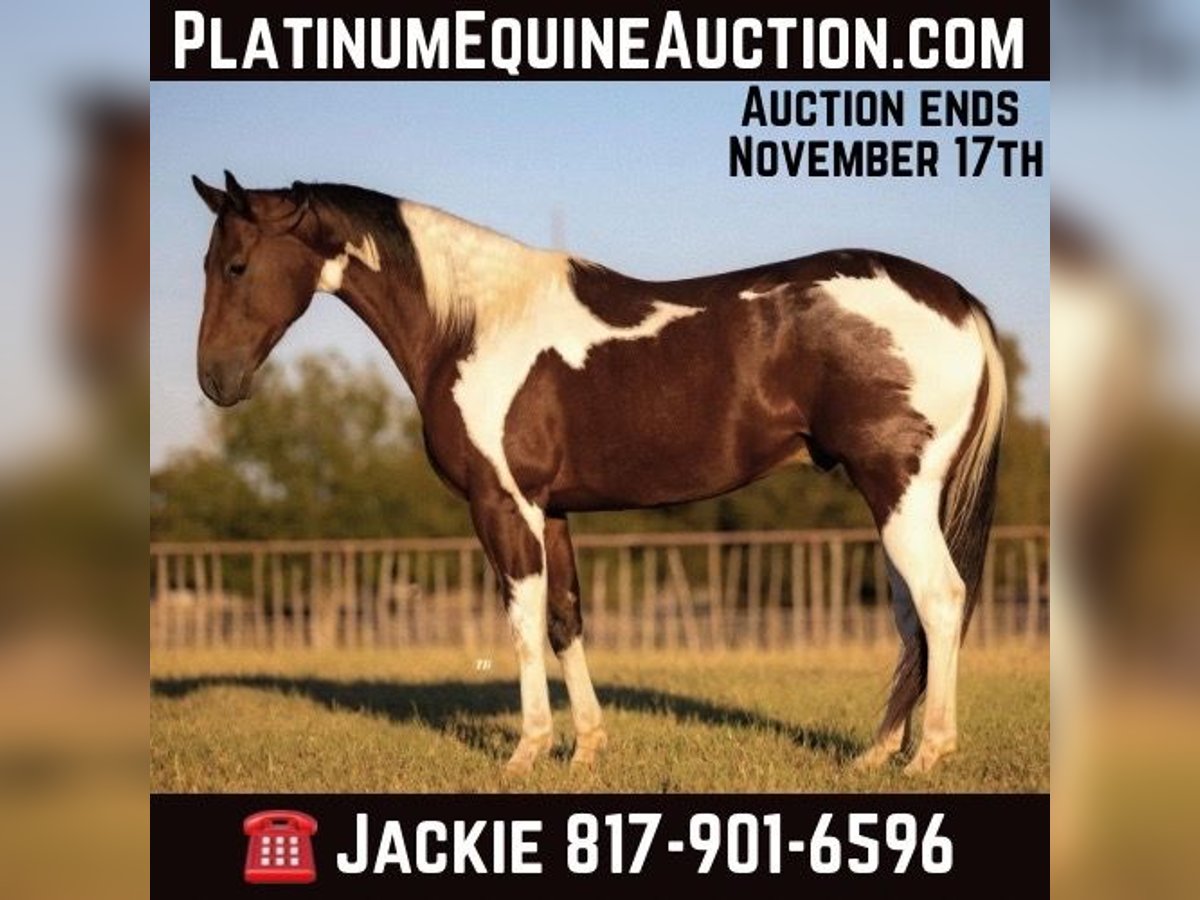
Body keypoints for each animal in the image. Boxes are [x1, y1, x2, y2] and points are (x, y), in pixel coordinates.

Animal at [190, 171, 1005, 775]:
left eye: (236, 265)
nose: (215, 381)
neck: (475, 324)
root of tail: (960, 302)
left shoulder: (502, 503)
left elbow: (521, 620)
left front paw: (527, 751)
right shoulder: (550, 508)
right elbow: (564, 617)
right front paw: (586, 748)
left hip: (899, 490)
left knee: (939, 600)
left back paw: (927, 755)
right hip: (893, 496)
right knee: (910, 616)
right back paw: (876, 754)